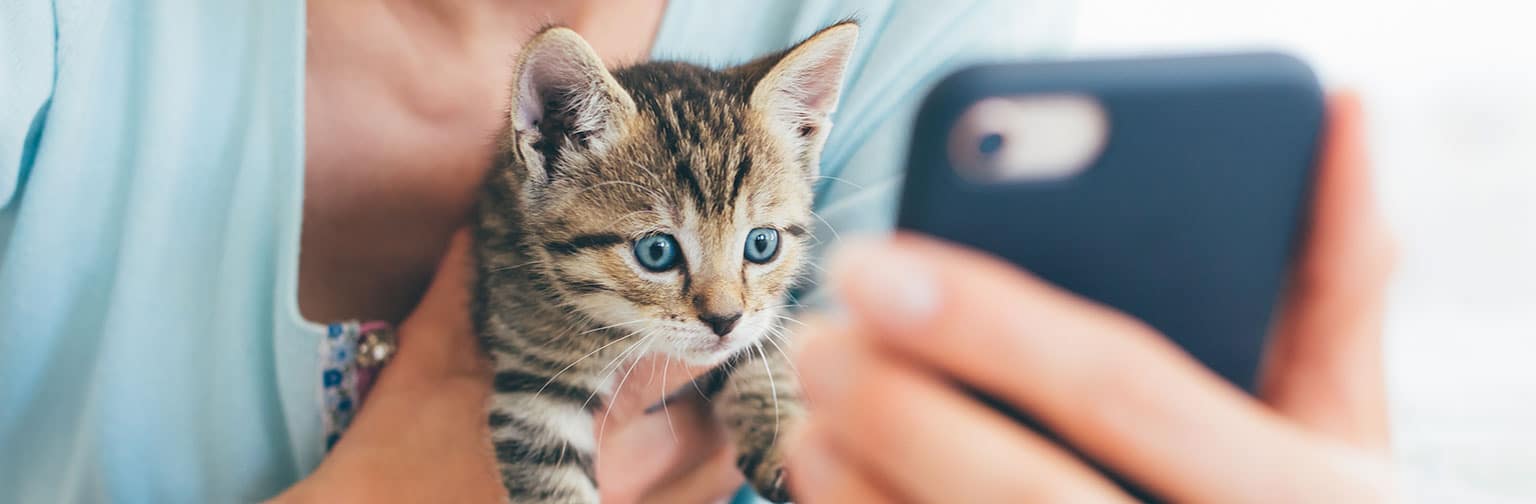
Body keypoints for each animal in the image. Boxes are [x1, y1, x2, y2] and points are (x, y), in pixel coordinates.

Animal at [473, 21, 860, 500]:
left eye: (761, 244)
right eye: (656, 252)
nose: (724, 319)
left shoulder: (764, 315)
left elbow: (762, 356)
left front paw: (785, 445)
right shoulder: (531, 375)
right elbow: (553, 477)